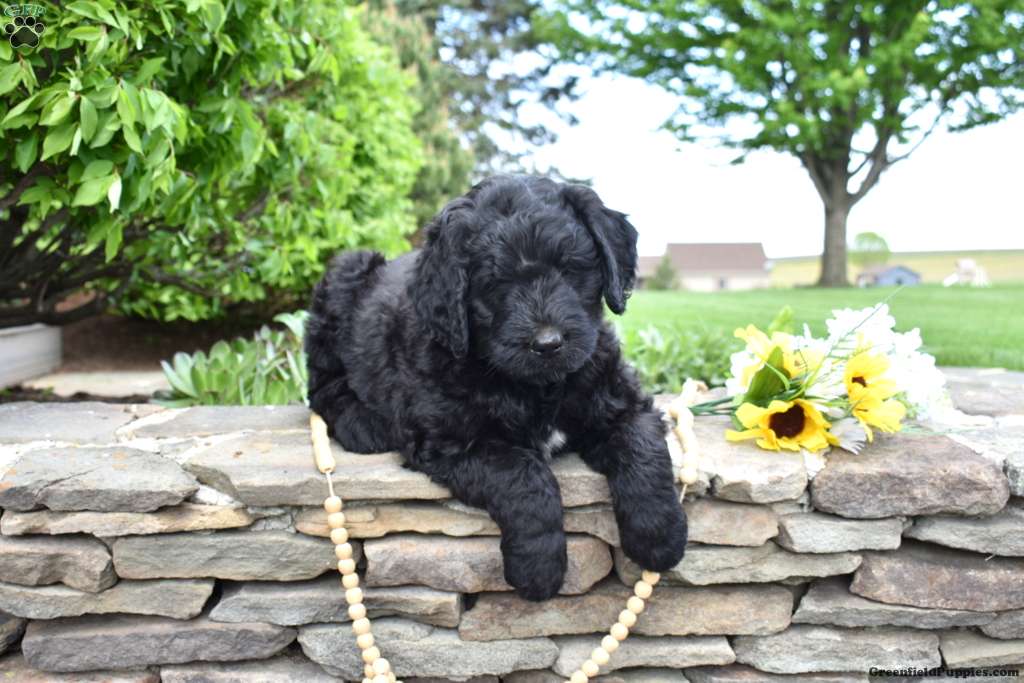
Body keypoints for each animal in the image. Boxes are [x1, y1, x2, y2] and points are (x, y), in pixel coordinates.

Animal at [306, 175, 687, 601]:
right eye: (495, 284)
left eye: (570, 269)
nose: (548, 344)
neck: (538, 387)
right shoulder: (453, 441)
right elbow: (523, 475)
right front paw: (538, 567)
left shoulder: (621, 400)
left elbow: (642, 448)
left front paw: (659, 537)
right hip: (342, 282)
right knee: (320, 385)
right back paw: (363, 425)